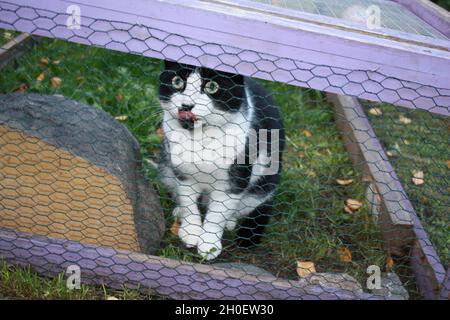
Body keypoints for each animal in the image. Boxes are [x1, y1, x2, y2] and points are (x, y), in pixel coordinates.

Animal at [158, 60, 284, 260]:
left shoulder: (234, 180)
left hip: (263, 185)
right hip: (165, 165)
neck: (200, 137)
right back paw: (179, 211)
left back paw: (230, 222)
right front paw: (191, 231)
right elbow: (189, 201)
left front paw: (209, 244)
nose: (186, 105)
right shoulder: (183, 173)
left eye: (212, 86)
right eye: (177, 81)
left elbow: (217, 214)